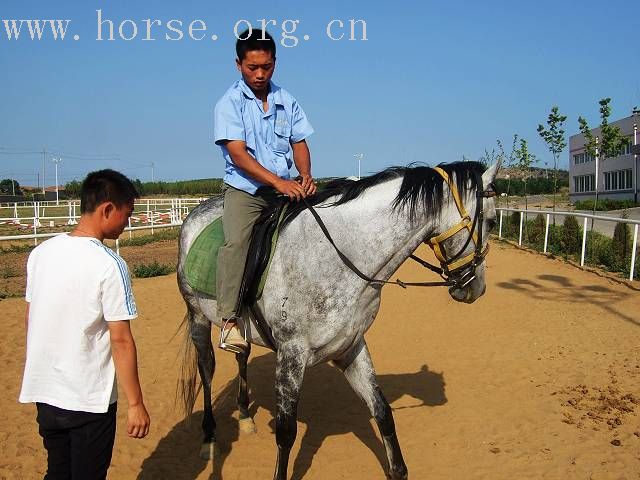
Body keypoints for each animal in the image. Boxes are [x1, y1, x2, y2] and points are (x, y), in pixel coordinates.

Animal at [179, 161, 500, 480]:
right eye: (491, 221)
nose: (477, 288)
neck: (339, 255)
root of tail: (196, 211)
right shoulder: (291, 355)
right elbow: (286, 433)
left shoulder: (351, 346)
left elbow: (382, 412)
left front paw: (397, 469)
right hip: (198, 315)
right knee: (207, 369)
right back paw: (208, 438)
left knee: (241, 355)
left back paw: (245, 417)